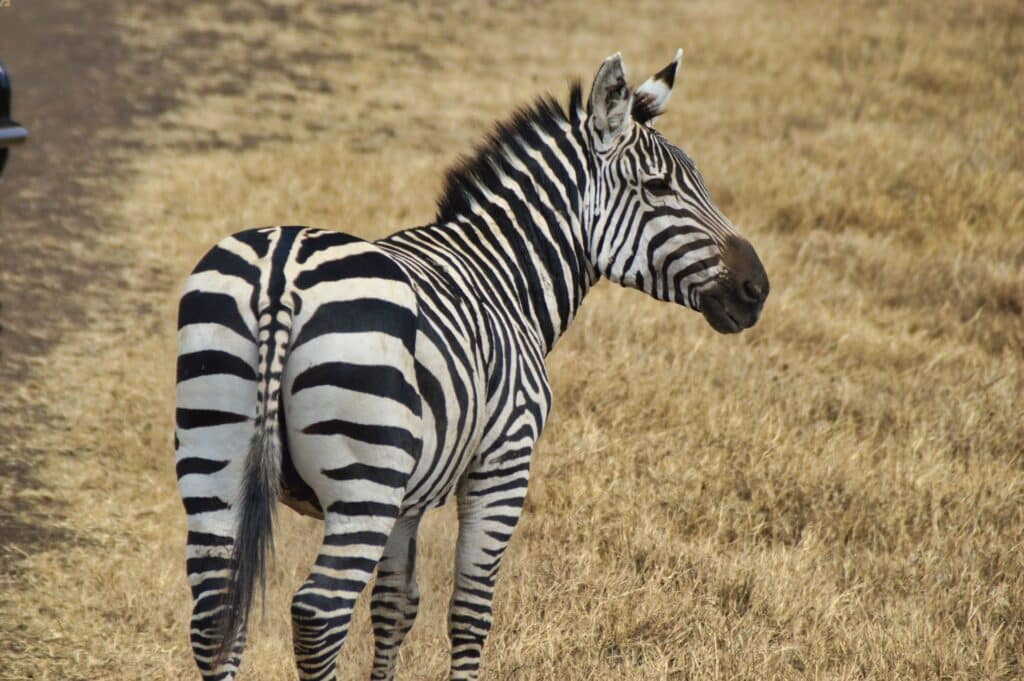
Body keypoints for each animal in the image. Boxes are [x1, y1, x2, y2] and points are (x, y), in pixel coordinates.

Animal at [175, 50, 768, 681]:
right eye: (657, 186)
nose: (758, 289)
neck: (505, 275)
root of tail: (280, 274)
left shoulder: (410, 494)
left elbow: (395, 605)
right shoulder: (503, 460)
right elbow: (469, 609)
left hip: (216, 453)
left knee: (217, 618)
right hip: (361, 483)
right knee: (318, 615)